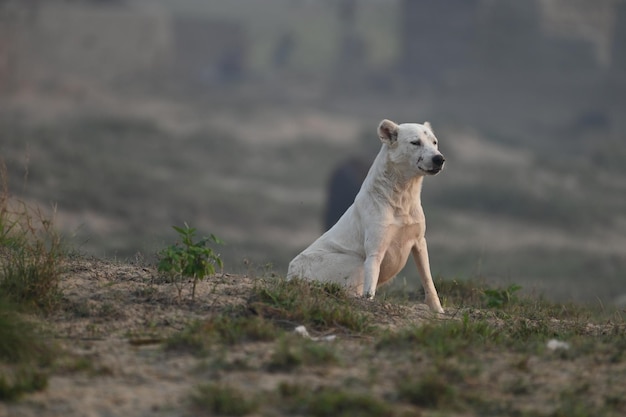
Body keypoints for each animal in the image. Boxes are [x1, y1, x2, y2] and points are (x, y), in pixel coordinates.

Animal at [288, 118, 444, 310]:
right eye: (415, 142)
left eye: (434, 142)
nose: (439, 159)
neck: (402, 198)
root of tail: (289, 275)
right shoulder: (375, 252)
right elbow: (369, 290)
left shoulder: (419, 243)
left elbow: (428, 280)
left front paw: (438, 310)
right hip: (355, 262)